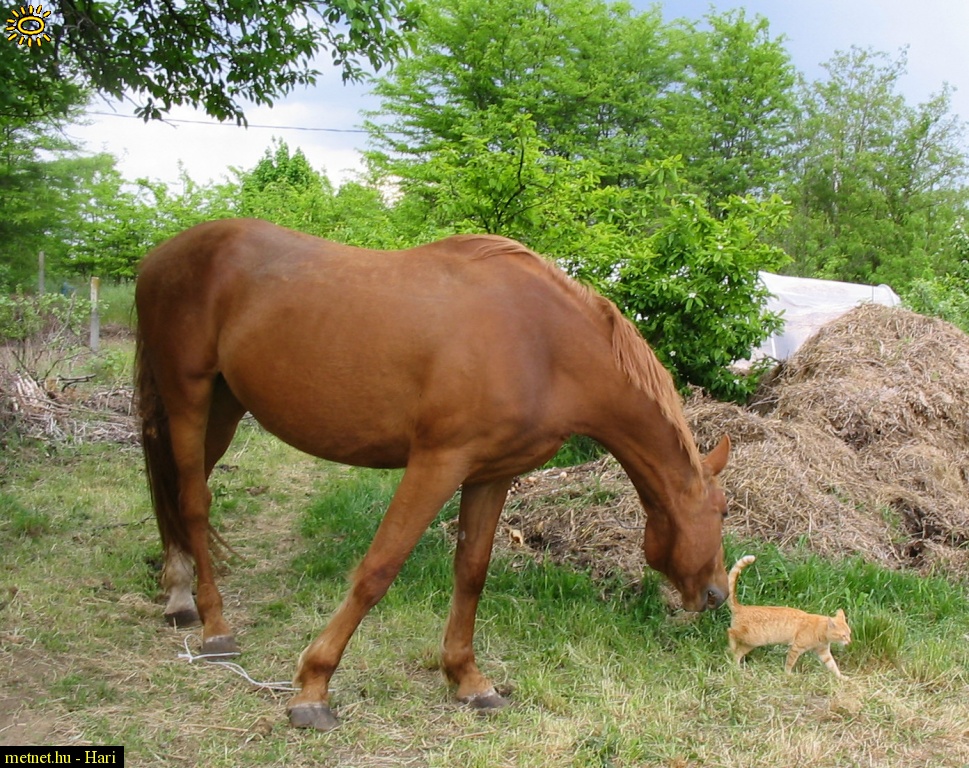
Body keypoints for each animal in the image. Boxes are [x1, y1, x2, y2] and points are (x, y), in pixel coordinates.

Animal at [134, 218, 730, 731]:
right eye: (723, 511)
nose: (718, 596)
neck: (541, 343)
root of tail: (159, 256)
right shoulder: (437, 463)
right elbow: (378, 569)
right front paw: (313, 689)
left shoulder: (491, 475)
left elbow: (471, 571)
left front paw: (468, 679)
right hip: (188, 397)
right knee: (193, 501)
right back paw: (215, 628)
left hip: (224, 405)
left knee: (180, 495)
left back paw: (178, 595)